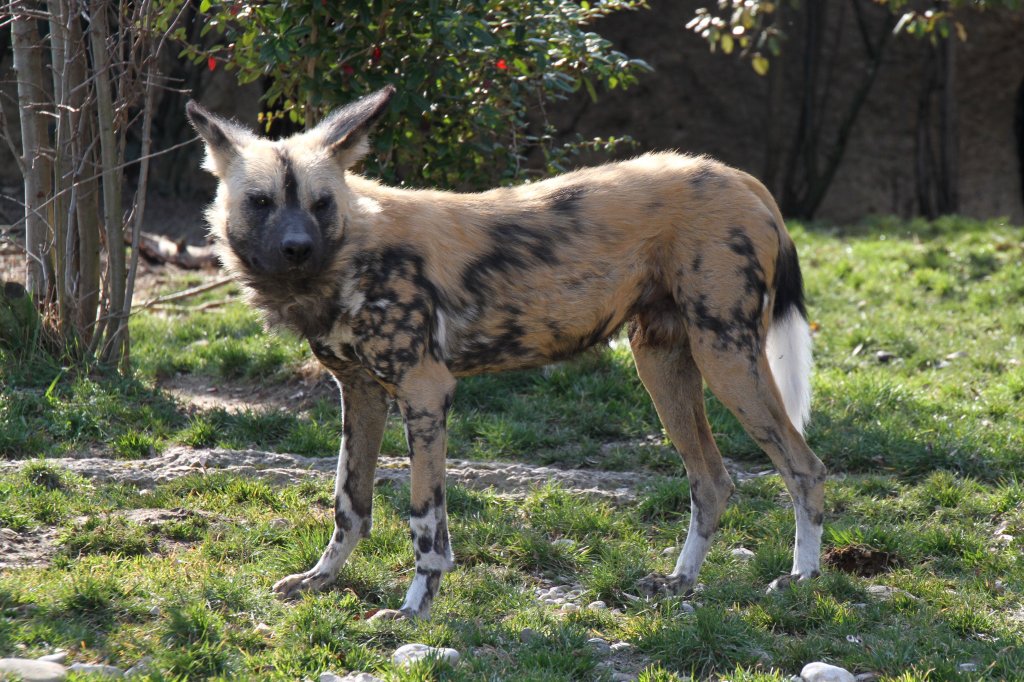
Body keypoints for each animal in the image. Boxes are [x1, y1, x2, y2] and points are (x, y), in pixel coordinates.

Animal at [184, 84, 823, 614]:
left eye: (321, 204)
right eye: (261, 202)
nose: (297, 248)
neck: (348, 259)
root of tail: (742, 179)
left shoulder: (425, 394)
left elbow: (424, 522)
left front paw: (414, 609)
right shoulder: (362, 393)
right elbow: (350, 504)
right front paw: (320, 579)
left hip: (726, 357)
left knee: (805, 467)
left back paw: (802, 579)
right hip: (661, 364)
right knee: (711, 481)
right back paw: (680, 583)